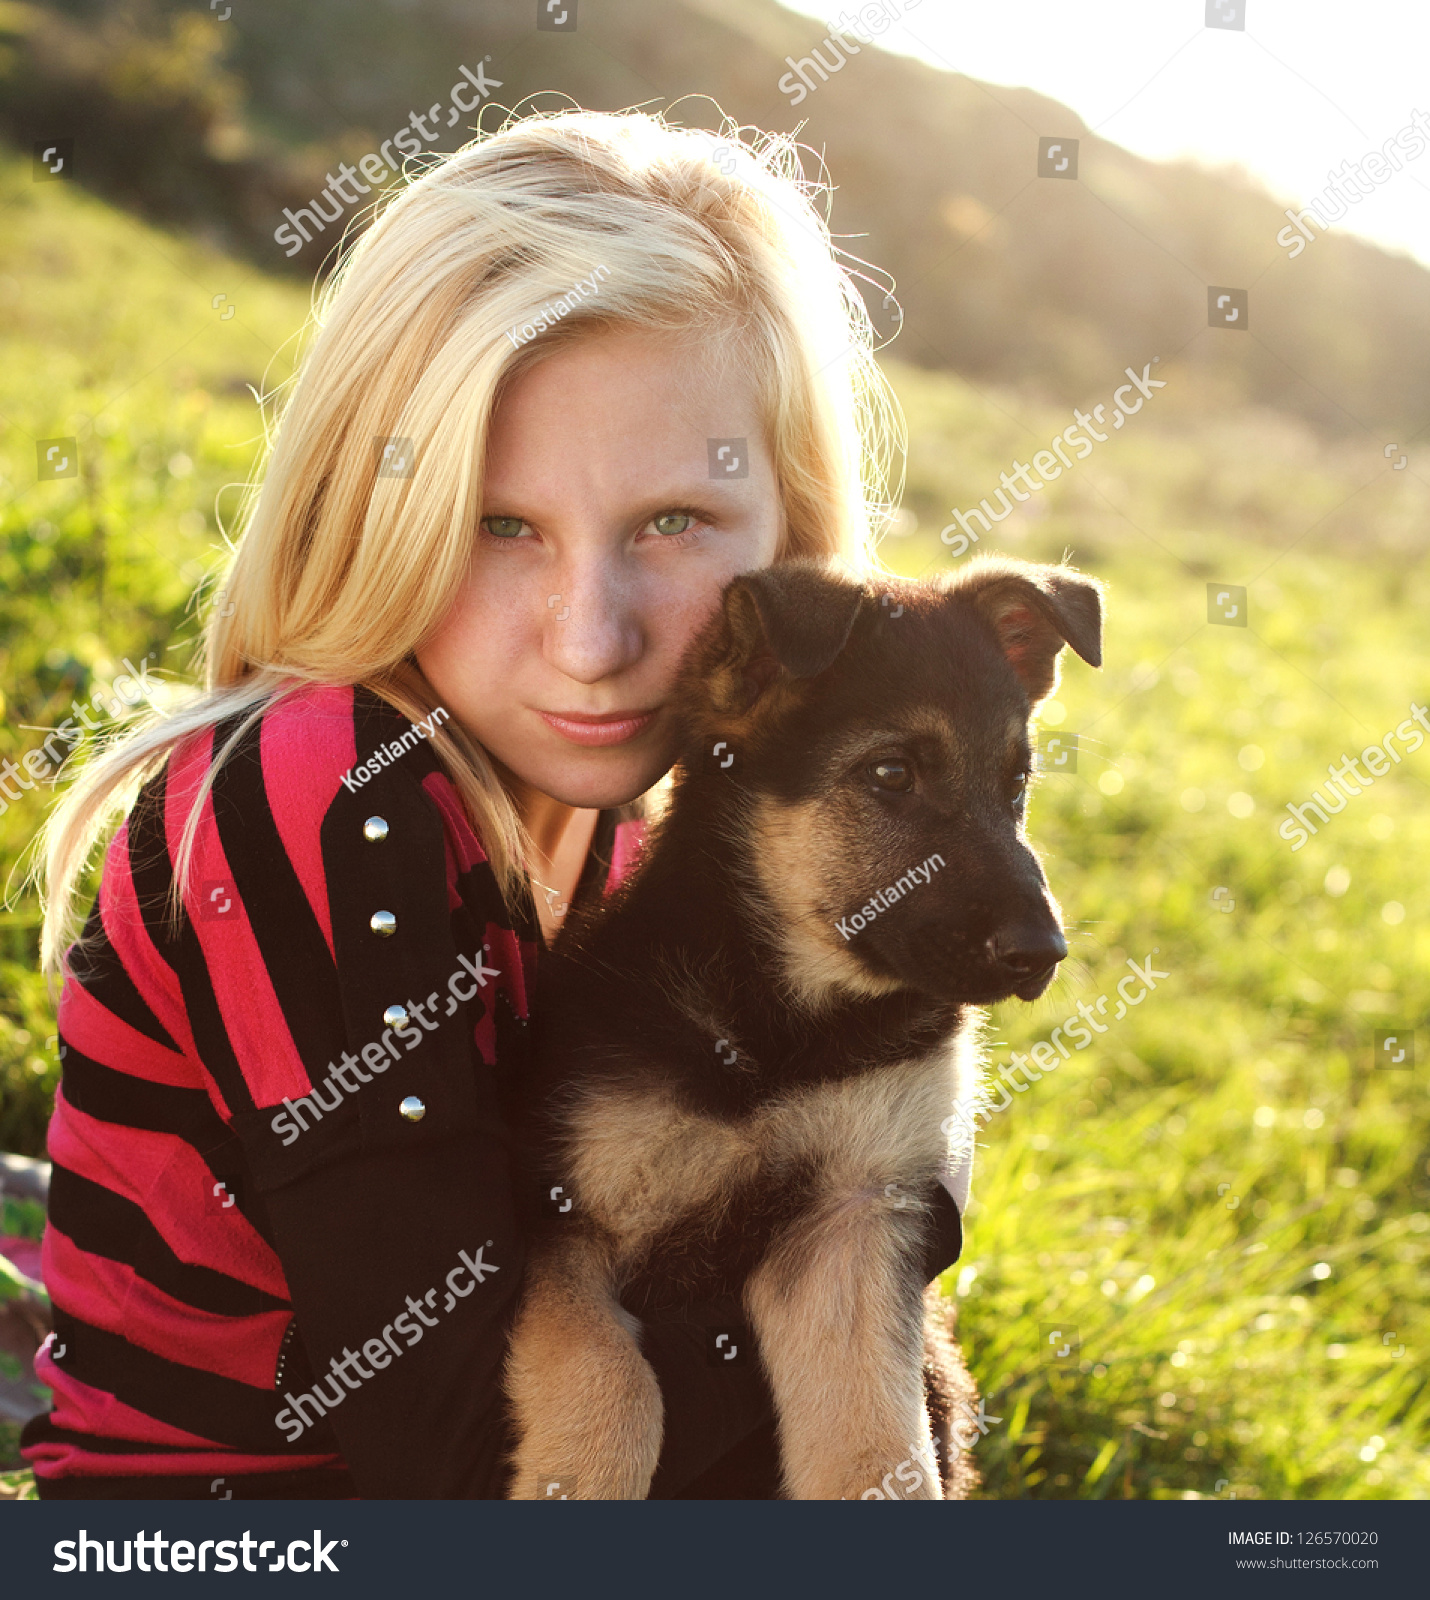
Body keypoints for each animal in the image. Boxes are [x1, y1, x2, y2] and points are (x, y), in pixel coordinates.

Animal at [505, 553, 1106, 1497]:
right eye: (891, 775)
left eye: (1017, 784)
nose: (1043, 953)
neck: (779, 1030)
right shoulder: (566, 1223)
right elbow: (611, 1383)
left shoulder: (852, 1222)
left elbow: (874, 1449)